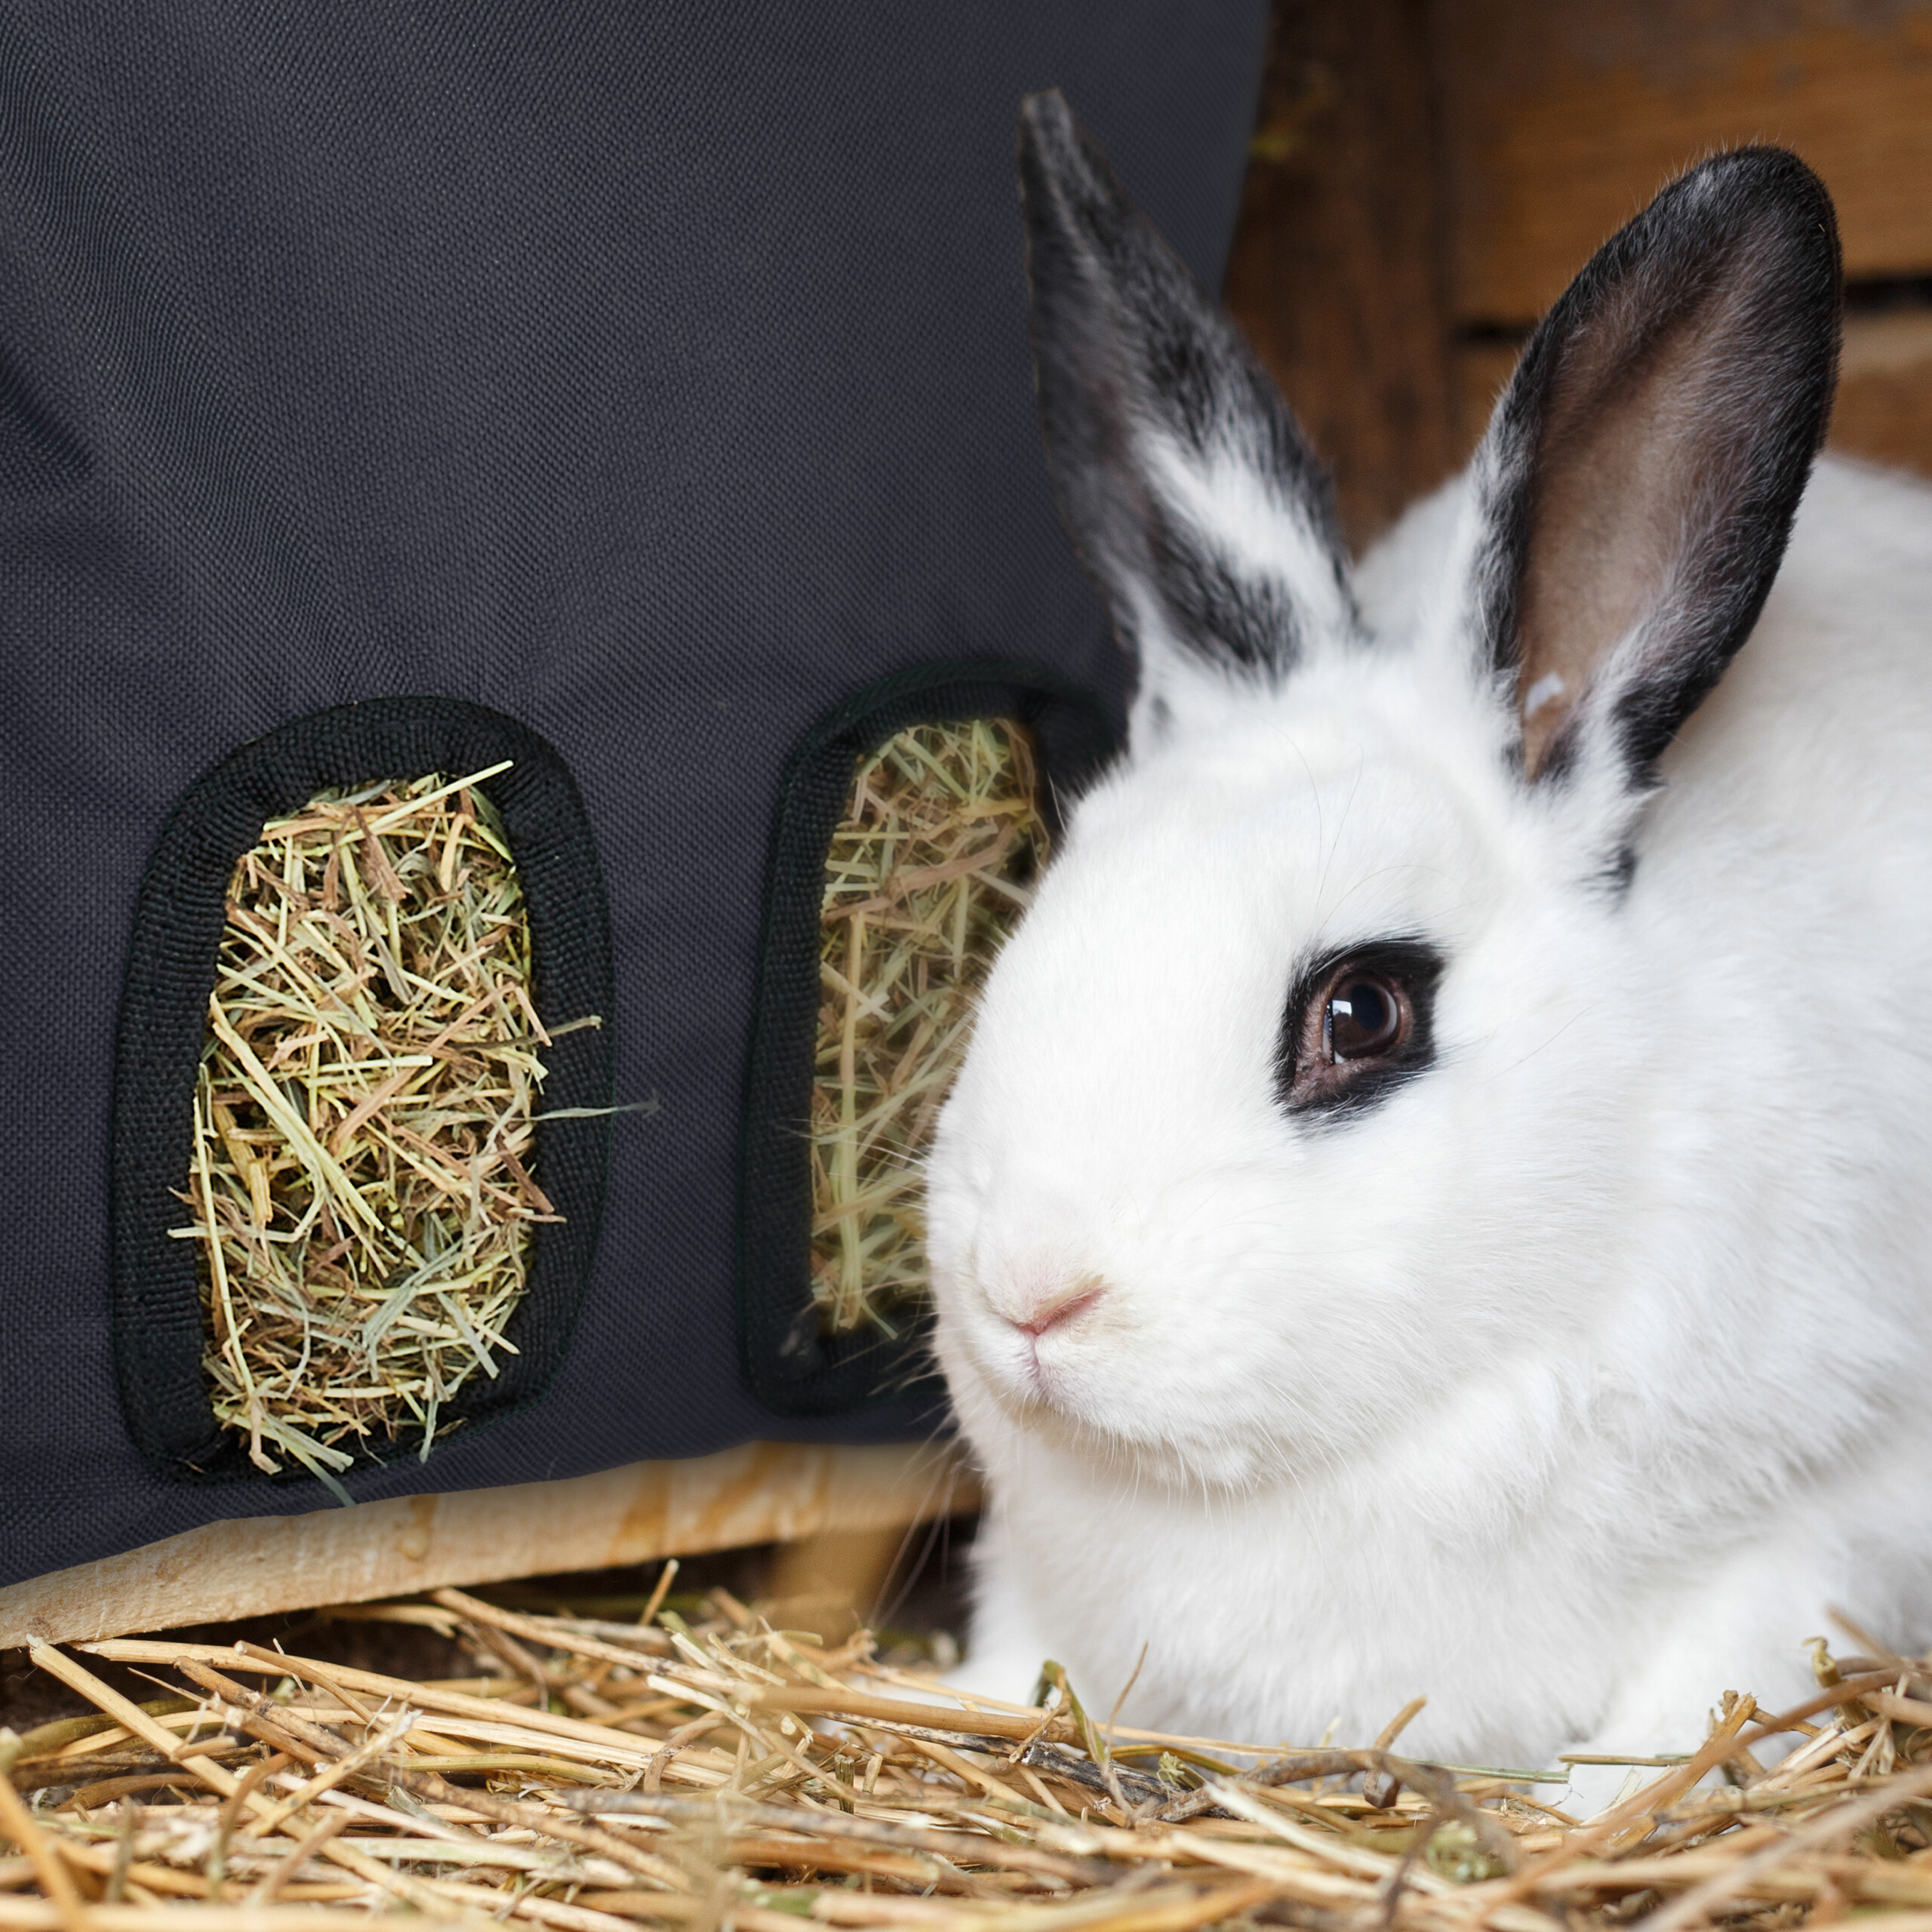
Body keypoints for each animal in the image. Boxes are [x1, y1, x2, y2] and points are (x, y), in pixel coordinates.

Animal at [922, 88, 1932, 1788]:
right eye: (1047, 916)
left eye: (1362, 1015)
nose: (1032, 1293)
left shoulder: (1837, 1514)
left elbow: (1711, 1679)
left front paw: (1591, 1808)